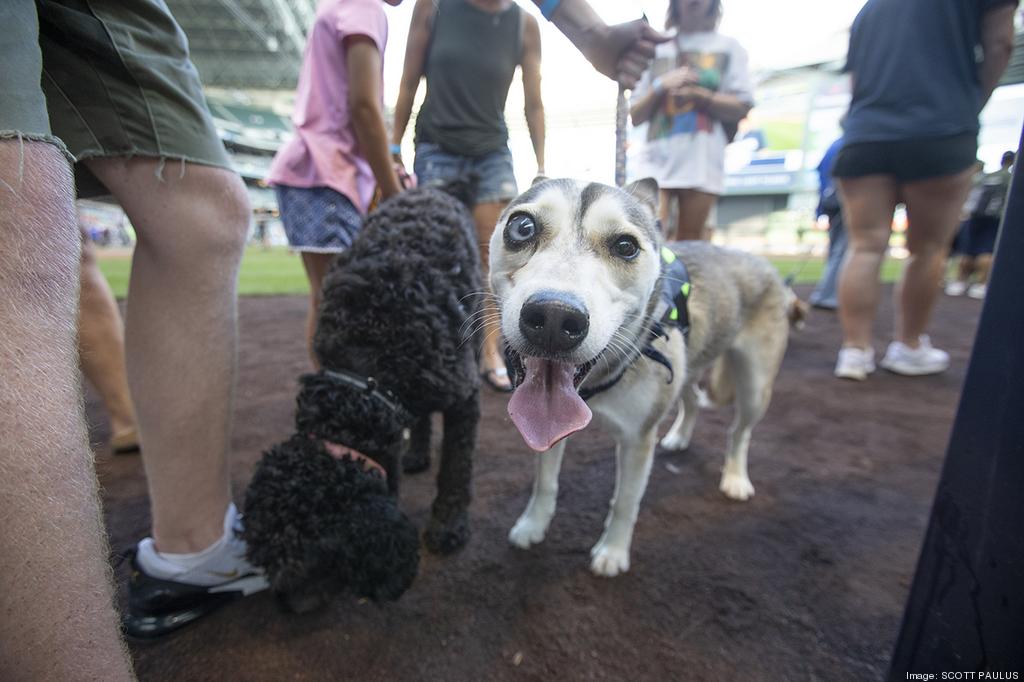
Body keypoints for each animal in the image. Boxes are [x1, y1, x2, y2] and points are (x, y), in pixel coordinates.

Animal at [241, 182, 481, 610]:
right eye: (265, 558)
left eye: (316, 557)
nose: (289, 607)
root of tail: (429, 189)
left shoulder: (463, 395)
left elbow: (456, 468)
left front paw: (448, 526)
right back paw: (417, 453)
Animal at [491, 175, 794, 573]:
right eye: (522, 227)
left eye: (625, 246)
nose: (555, 317)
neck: (598, 381)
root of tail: (761, 260)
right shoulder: (545, 431)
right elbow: (545, 482)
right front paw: (532, 525)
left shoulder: (638, 439)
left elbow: (625, 501)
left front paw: (613, 551)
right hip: (685, 366)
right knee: (691, 399)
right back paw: (680, 437)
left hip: (755, 387)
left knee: (739, 432)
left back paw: (735, 478)